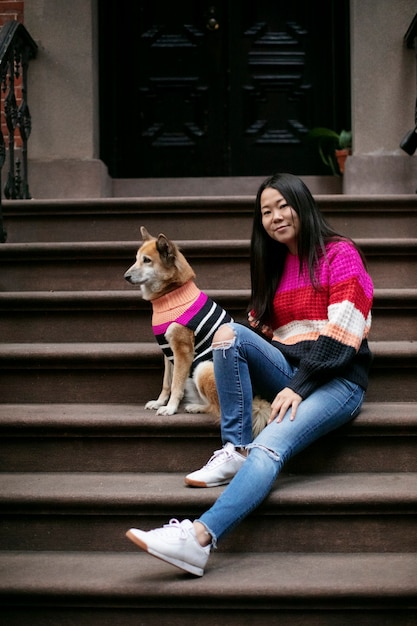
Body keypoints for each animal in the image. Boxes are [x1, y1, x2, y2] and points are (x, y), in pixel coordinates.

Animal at [123, 224, 268, 434]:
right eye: (136, 259)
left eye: (147, 260)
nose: (125, 276)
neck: (171, 294)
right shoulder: (168, 351)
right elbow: (167, 383)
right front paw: (160, 402)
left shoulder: (183, 351)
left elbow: (175, 385)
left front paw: (170, 408)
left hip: (202, 368)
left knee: (218, 408)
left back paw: (197, 408)